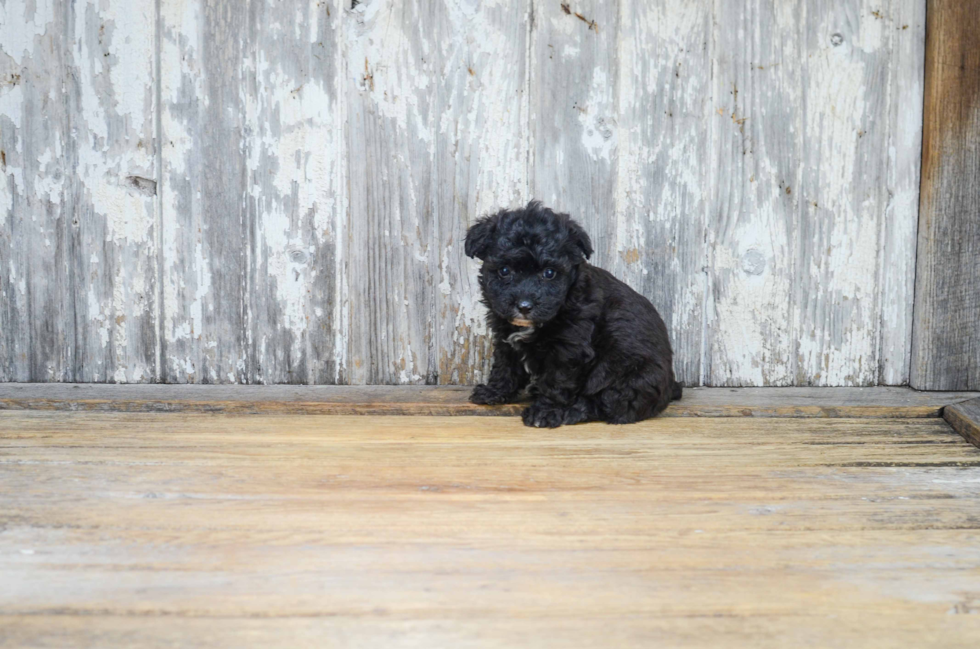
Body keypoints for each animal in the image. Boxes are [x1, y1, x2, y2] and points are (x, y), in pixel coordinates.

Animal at [466, 200, 680, 428]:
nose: (524, 306)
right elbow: (505, 366)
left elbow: (557, 382)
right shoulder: (506, 338)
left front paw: (545, 412)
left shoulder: (568, 350)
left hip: (628, 375)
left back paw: (572, 411)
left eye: (549, 273)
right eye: (504, 271)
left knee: (609, 404)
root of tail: (670, 387)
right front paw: (493, 391)